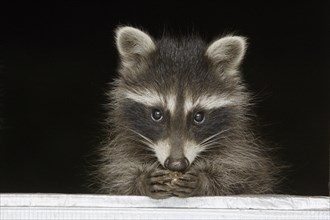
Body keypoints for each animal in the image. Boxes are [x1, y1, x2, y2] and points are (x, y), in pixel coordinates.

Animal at [96, 26, 280, 199]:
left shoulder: (241, 151)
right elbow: (120, 176)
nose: (176, 164)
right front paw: (140, 180)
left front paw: (205, 180)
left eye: (198, 117)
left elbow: (237, 175)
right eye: (157, 114)